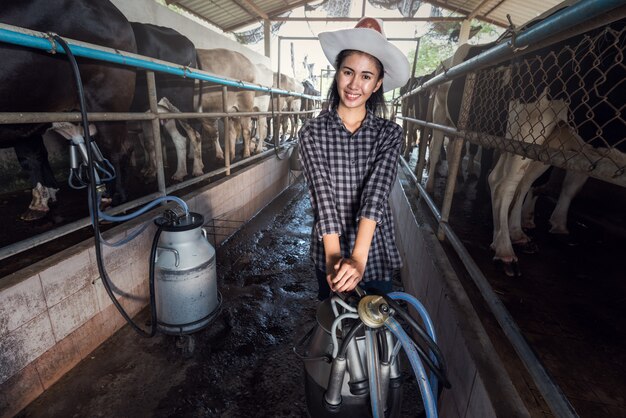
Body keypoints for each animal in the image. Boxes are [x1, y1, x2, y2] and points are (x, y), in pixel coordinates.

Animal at [128, 21, 201, 181]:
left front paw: (151, 170)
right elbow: (149, 144)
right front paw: (149, 168)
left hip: (181, 103)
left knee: (194, 134)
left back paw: (197, 169)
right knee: (180, 139)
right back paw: (180, 172)